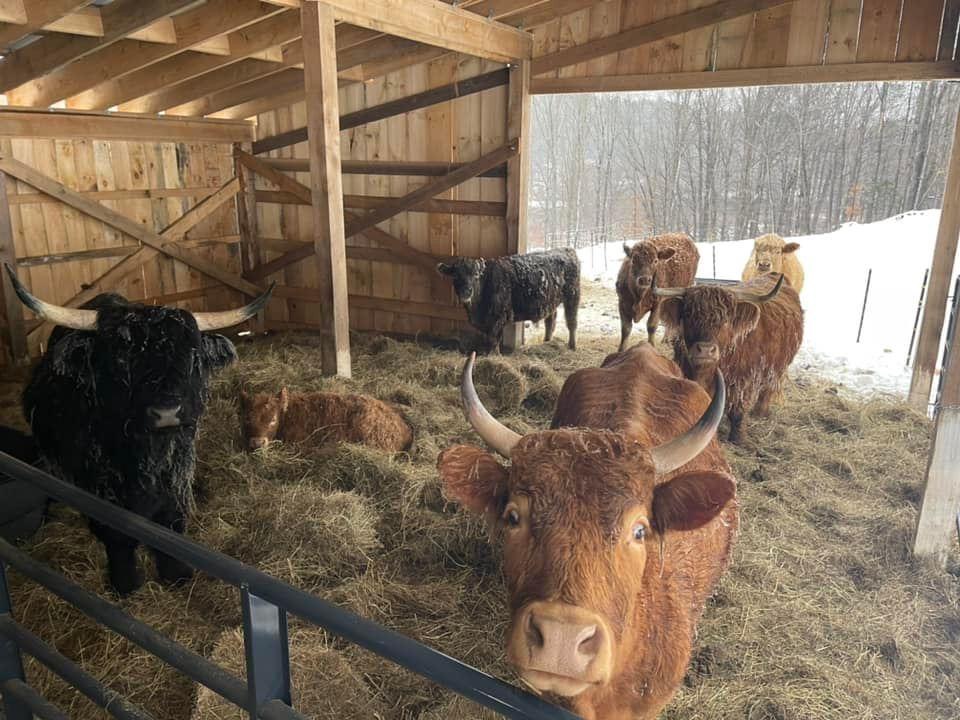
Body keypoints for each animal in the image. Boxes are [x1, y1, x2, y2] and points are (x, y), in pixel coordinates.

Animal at [5, 268, 272, 592]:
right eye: (121, 358)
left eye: (191, 355)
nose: (166, 412)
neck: (146, 454)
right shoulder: (99, 487)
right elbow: (117, 535)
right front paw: (125, 582)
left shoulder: (177, 470)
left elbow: (172, 523)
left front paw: (177, 574)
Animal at [438, 248, 580, 352]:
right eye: (456, 275)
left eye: (475, 275)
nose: (466, 292)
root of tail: (568, 250)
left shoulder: (498, 318)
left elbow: (494, 340)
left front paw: (494, 356)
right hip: (551, 302)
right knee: (550, 321)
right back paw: (546, 341)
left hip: (573, 297)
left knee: (571, 322)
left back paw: (572, 346)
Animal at [656, 272, 808, 444]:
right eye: (688, 314)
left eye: (726, 320)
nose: (706, 350)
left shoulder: (743, 380)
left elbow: (738, 410)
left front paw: (738, 438)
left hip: (778, 367)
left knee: (768, 388)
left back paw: (760, 412)